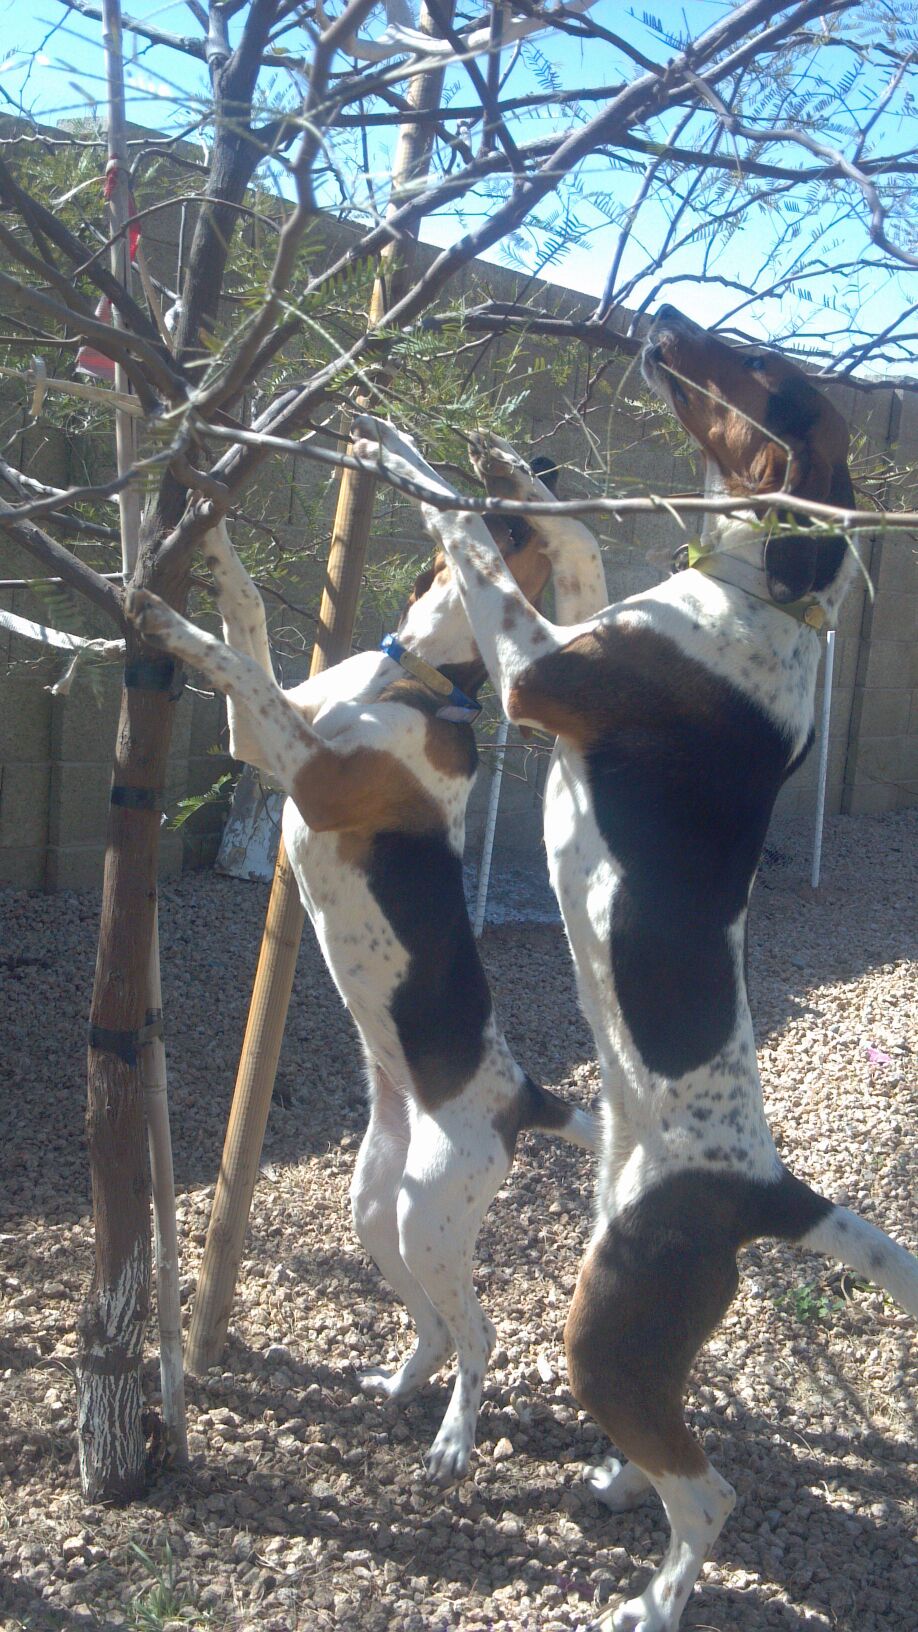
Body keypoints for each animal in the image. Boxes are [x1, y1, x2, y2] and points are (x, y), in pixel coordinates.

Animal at [125, 449, 596, 1485]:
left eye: (516, 524)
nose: (535, 463)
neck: (413, 675)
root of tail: (525, 1095)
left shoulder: (303, 766)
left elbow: (230, 658)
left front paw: (168, 620)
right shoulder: (261, 733)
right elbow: (248, 622)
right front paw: (212, 527)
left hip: (433, 1218)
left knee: (480, 1333)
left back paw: (454, 1440)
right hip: (377, 1209)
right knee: (434, 1324)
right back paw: (398, 1385)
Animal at [348, 342, 918, 1632]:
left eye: (761, 372)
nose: (659, 321)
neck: (766, 599)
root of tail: (764, 1187)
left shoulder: (534, 675)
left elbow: (466, 538)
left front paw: (409, 456)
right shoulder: (566, 628)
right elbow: (563, 542)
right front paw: (505, 465)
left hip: (603, 1325)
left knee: (708, 1494)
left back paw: (655, 1598)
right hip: (640, 1313)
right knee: (670, 1440)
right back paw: (616, 1481)